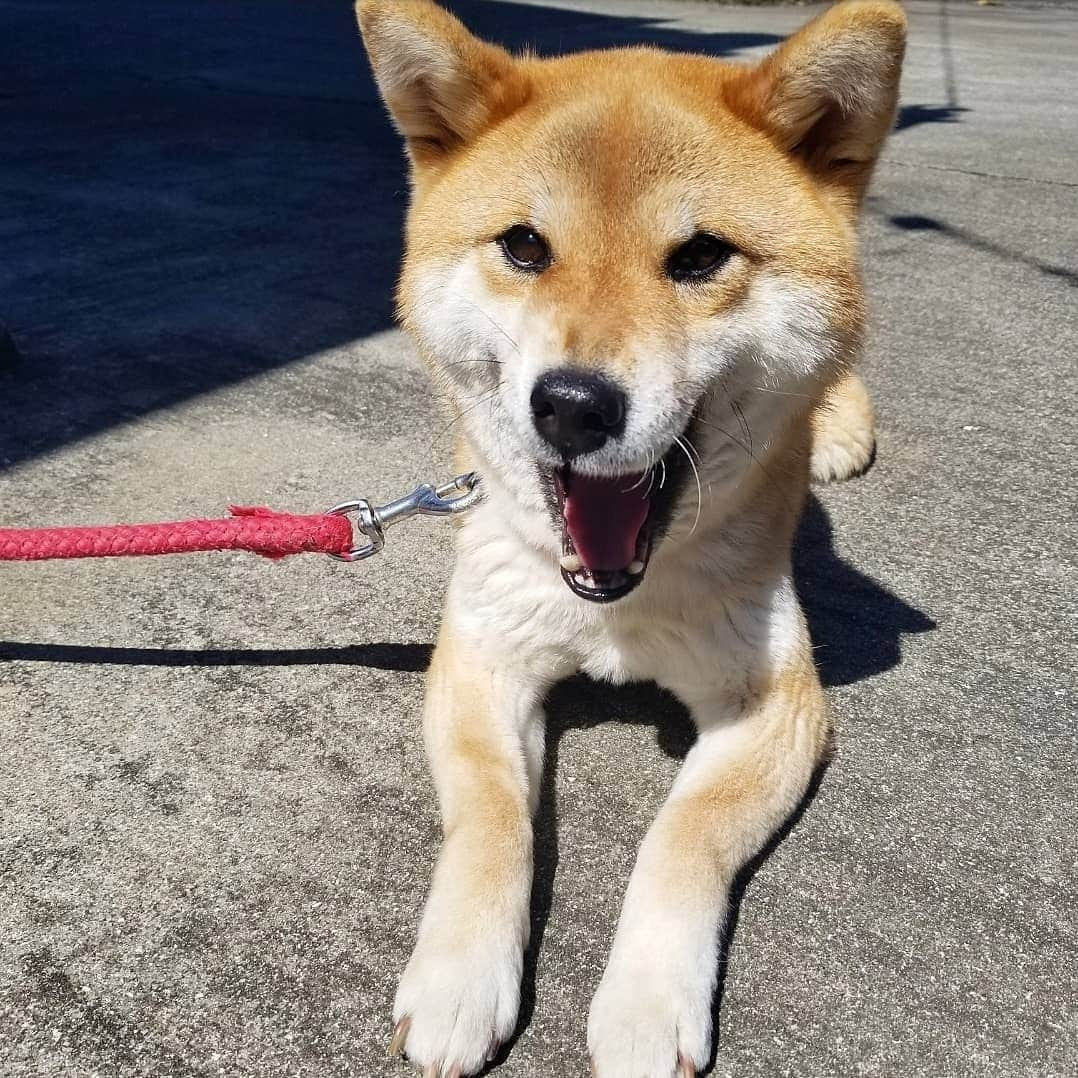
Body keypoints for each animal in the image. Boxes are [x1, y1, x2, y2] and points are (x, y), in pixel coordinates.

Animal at [357, 2, 905, 1069]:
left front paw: (646, 1008)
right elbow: (492, 817)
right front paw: (458, 979)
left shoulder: (774, 704)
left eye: (699, 257)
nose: (572, 405)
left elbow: (682, 836)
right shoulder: (482, 658)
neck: (614, 602)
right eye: (525, 246)